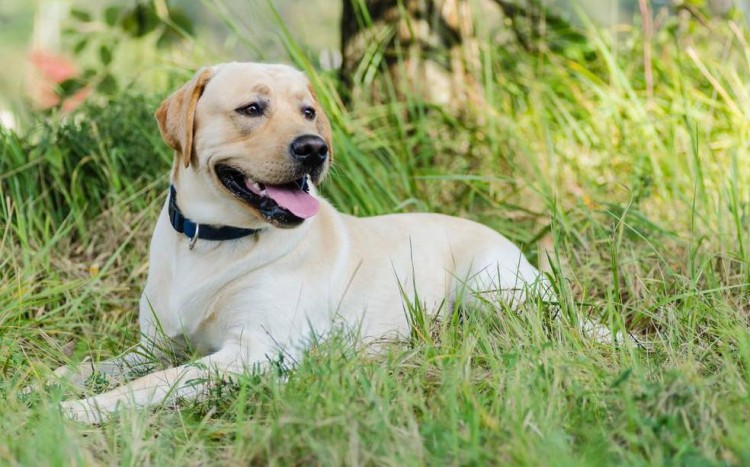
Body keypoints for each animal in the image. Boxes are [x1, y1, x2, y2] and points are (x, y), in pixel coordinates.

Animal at [54, 62, 548, 424]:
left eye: (308, 112)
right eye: (252, 108)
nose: (314, 148)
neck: (213, 239)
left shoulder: (250, 352)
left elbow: (154, 384)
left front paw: (81, 409)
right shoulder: (154, 348)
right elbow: (97, 368)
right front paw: (52, 381)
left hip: (488, 288)